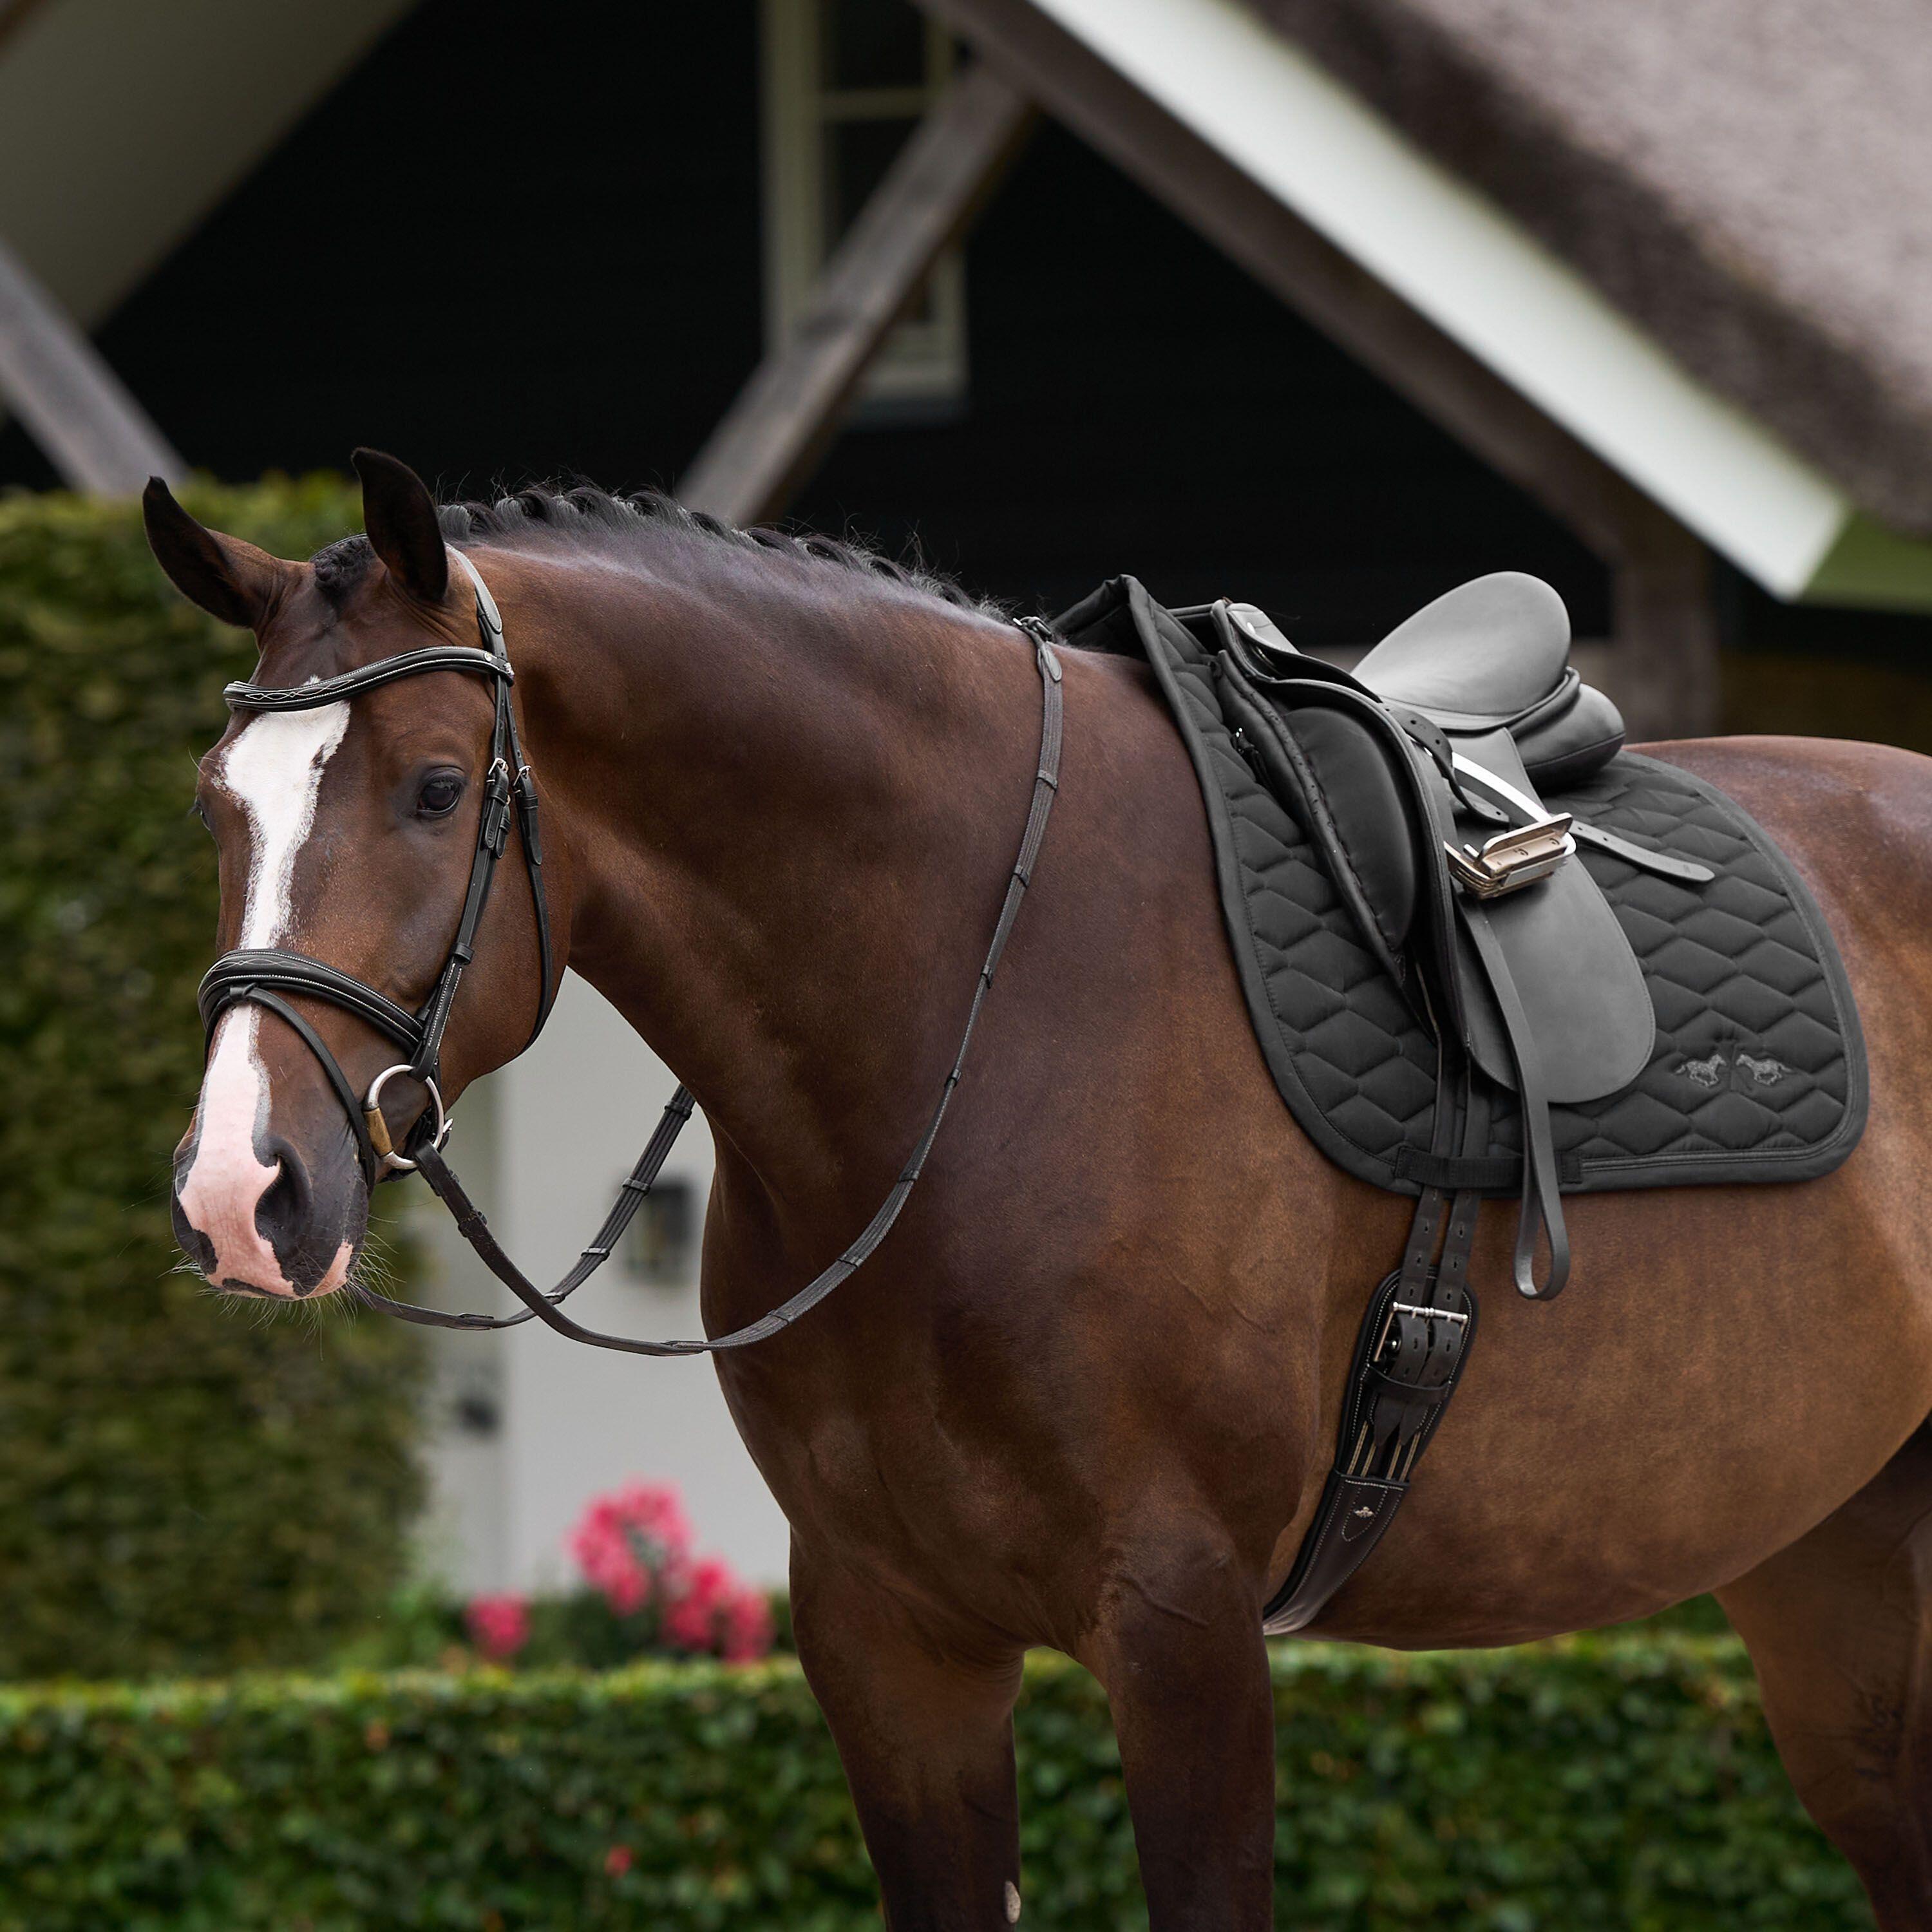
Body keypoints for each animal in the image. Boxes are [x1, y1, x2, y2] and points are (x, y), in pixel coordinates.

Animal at [148, 452, 1932, 1930]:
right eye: (215, 800)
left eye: (439, 786)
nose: (243, 1190)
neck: (973, 1007)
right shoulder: (891, 1639)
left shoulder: (1183, 1629)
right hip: (1837, 1576)